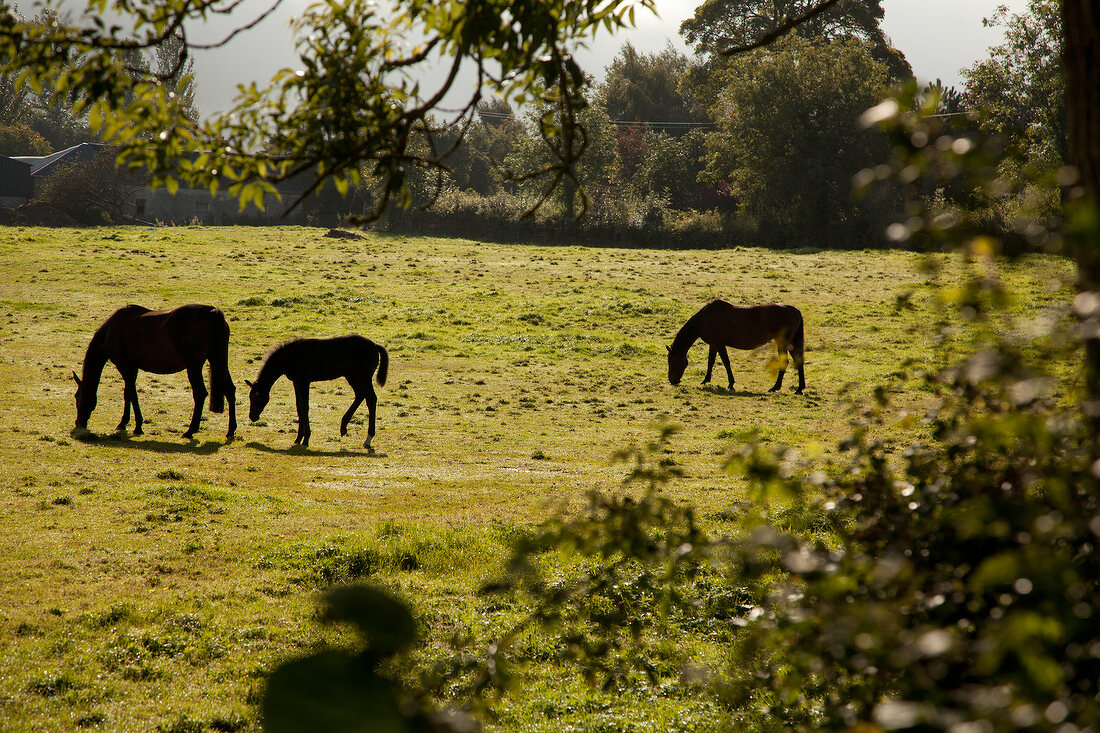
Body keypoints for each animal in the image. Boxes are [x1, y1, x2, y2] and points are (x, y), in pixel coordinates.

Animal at [74, 301, 237, 433]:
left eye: (77, 396)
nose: (78, 423)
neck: (112, 330)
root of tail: (211, 312)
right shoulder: (132, 368)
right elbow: (128, 393)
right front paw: (123, 423)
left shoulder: (124, 366)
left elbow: (132, 394)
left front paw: (138, 426)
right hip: (218, 361)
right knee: (230, 390)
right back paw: (230, 430)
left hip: (194, 367)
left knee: (200, 394)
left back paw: (190, 431)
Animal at [247, 334, 389, 449]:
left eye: (257, 398)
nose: (252, 416)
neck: (290, 356)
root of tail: (375, 345)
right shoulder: (296, 382)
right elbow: (299, 407)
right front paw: (298, 439)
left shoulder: (304, 381)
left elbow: (305, 407)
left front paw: (306, 440)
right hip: (352, 377)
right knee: (360, 395)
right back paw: (344, 427)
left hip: (363, 377)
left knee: (371, 399)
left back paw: (368, 439)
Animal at [664, 299, 805, 394]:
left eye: (671, 362)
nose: (672, 380)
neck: (704, 319)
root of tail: (796, 311)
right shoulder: (713, 344)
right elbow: (710, 362)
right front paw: (705, 380)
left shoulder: (719, 344)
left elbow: (726, 362)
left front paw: (731, 383)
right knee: (798, 361)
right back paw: (799, 388)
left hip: (783, 342)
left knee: (785, 361)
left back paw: (776, 387)